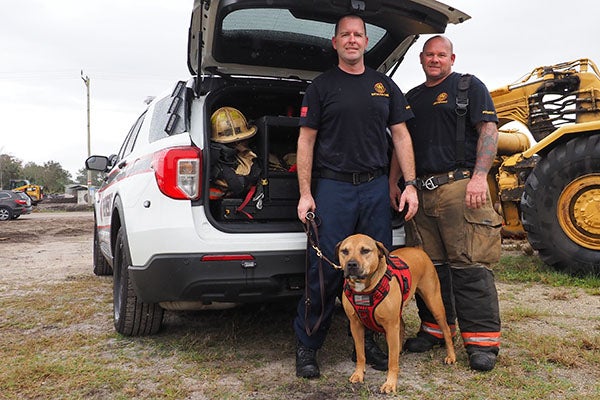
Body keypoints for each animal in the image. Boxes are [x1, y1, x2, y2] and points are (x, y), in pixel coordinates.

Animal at [338, 233, 454, 392]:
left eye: (365, 250)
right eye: (344, 251)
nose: (351, 264)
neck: (365, 289)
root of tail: (418, 250)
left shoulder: (391, 326)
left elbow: (392, 362)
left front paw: (390, 383)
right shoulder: (355, 325)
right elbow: (361, 354)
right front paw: (358, 374)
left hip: (434, 303)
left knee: (446, 329)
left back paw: (451, 356)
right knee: (402, 327)